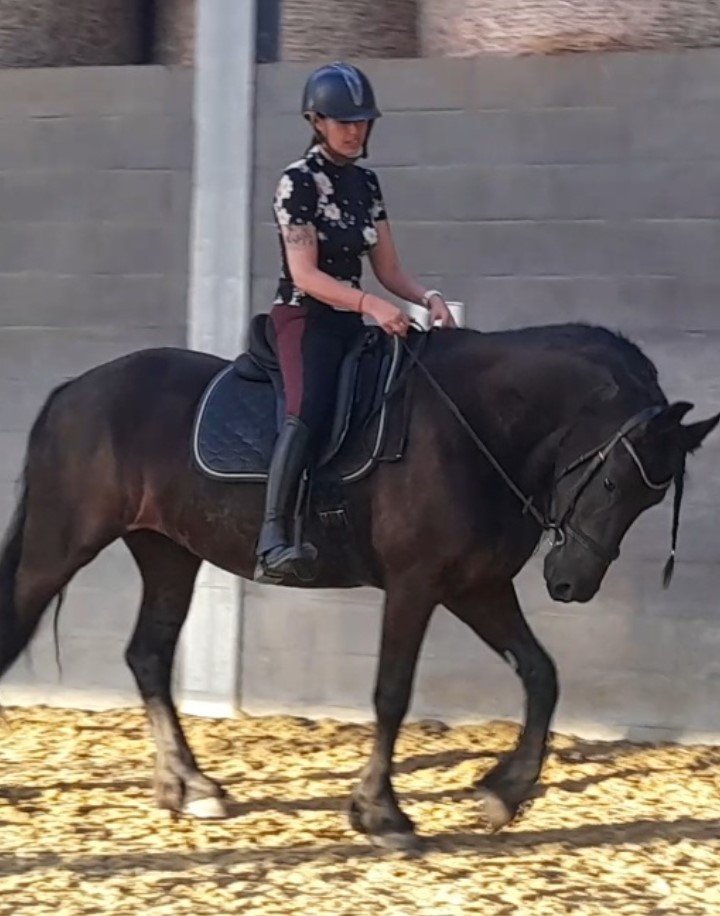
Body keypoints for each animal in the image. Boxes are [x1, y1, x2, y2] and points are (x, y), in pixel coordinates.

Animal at [0, 322, 717, 851]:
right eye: (612, 482)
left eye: (651, 501)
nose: (571, 583)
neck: (478, 427)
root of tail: (74, 390)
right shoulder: (416, 584)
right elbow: (392, 693)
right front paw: (381, 815)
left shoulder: (477, 587)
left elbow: (542, 675)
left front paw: (501, 795)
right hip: (62, 545)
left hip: (168, 552)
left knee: (148, 654)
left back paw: (192, 787)